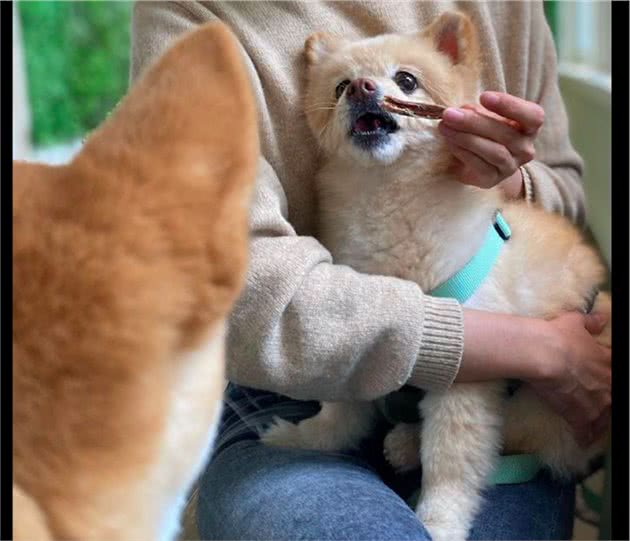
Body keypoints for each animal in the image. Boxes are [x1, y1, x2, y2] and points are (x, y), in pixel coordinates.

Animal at [262, 9, 612, 540]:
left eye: (406, 80)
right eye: (340, 86)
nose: (362, 87)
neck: (390, 201)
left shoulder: (469, 372)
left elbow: (452, 459)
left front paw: (440, 519)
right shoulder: (364, 325)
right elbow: (341, 407)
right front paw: (307, 438)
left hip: (544, 407)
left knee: (517, 438)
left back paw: (408, 442)